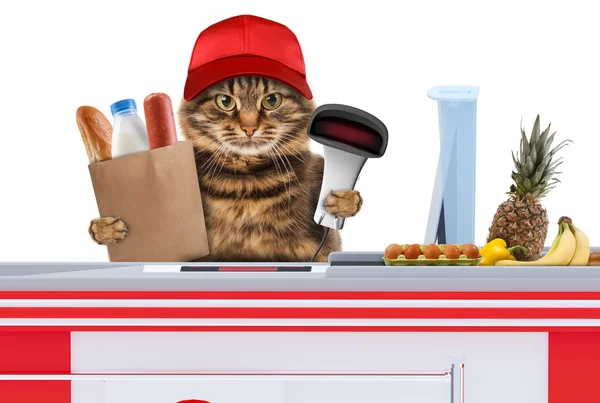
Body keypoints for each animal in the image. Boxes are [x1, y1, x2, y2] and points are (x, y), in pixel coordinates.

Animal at [88, 77, 360, 264]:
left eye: (271, 100)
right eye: (225, 102)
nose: (249, 128)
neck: (245, 183)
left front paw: (346, 201)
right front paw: (105, 229)